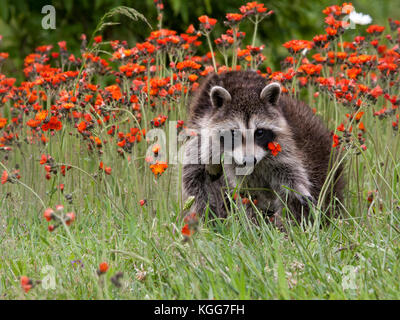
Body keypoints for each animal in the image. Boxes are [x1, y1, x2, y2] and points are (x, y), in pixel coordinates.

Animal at [183, 70, 346, 225]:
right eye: (234, 133)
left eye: (260, 132)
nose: (249, 160)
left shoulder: (283, 143)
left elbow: (289, 174)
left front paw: (298, 190)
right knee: (196, 182)